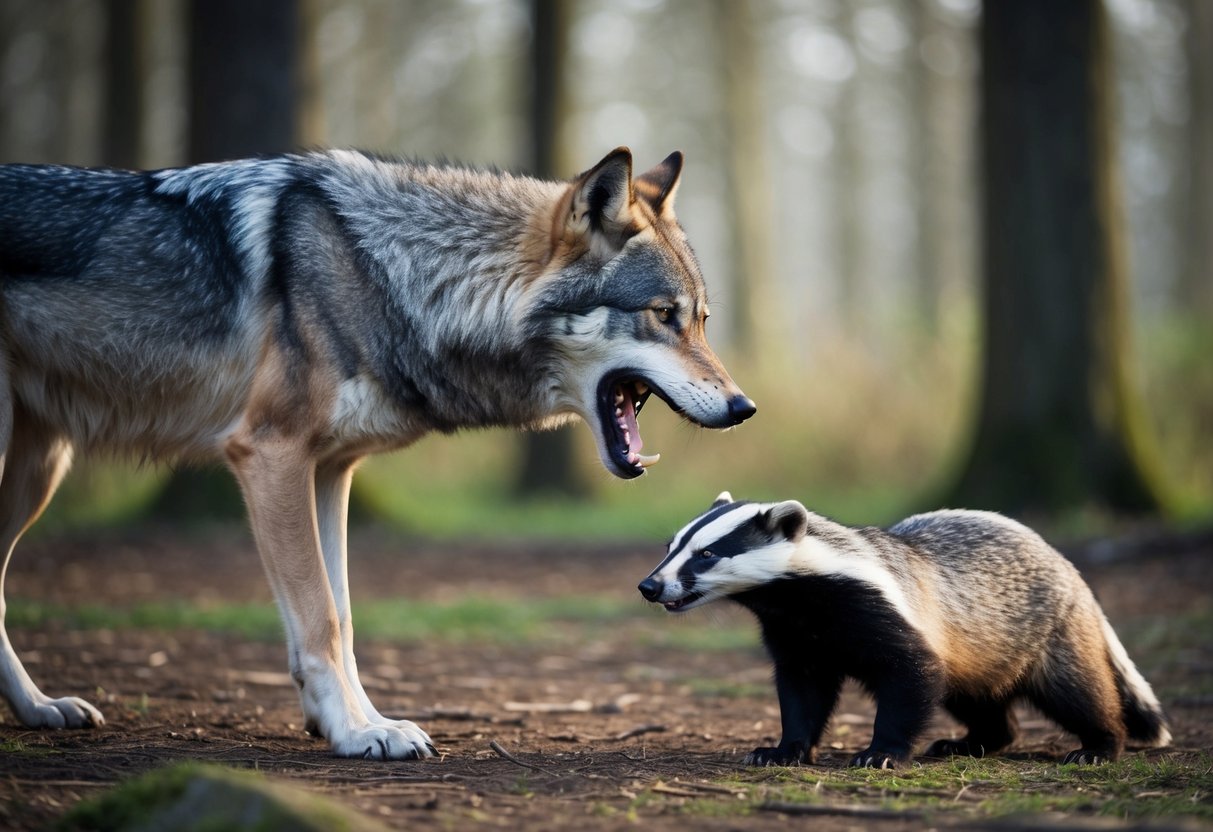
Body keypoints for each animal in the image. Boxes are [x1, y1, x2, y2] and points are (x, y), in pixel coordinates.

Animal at [0, 147, 755, 759]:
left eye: (702, 320)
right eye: (662, 315)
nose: (744, 408)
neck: (393, 278)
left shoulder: (331, 471)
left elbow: (343, 615)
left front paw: (360, 722)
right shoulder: (271, 455)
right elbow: (319, 618)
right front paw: (355, 732)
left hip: (41, 469)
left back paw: (40, 709)